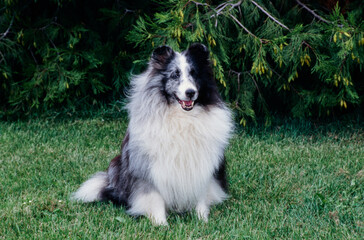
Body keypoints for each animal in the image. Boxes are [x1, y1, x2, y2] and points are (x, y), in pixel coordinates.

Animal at [72, 43, 233, 225]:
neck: (182, 117)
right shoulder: (149, 168)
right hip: (116, 167)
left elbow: (200, 196)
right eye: (174, 74)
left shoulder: (202, 165)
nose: (190, 92)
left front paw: (201, 219)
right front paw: (160, 223)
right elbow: (155, 197)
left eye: (194, 74)